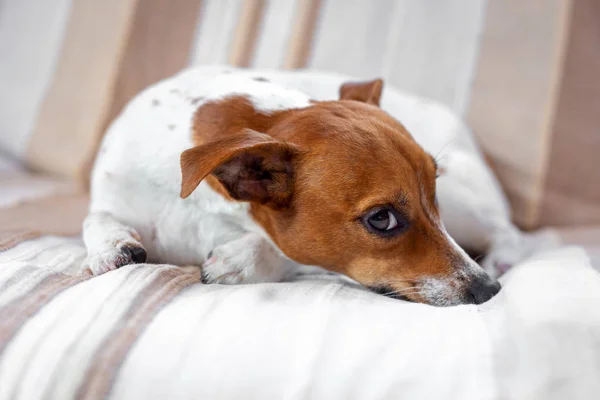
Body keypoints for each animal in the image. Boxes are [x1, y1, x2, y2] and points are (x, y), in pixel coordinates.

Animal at [82, 68, 500, 306]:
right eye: (381, 219)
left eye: (433, 191)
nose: (490, 289)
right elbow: (95, 219)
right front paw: (111, 246)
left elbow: (283, 250)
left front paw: (243, 261)